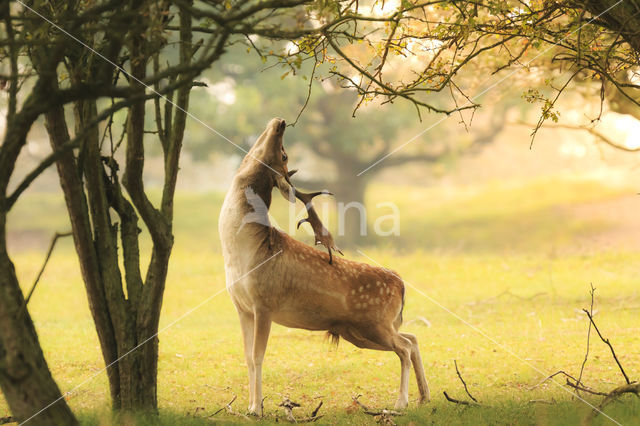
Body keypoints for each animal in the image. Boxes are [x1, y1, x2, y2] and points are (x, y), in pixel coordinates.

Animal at [219, 117, 430, 416]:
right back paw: (425, 397)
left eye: (284, 154)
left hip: (374, 323)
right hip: (362, 331)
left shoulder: (264, 302)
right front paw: (251, 405)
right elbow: (248, 357)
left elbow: (259, 356)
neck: (240, 251)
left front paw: (257, 409)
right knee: (412, 338)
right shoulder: (242, 307)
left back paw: (401, 402)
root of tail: (400, 284)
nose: (280, 122)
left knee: (403, 347)